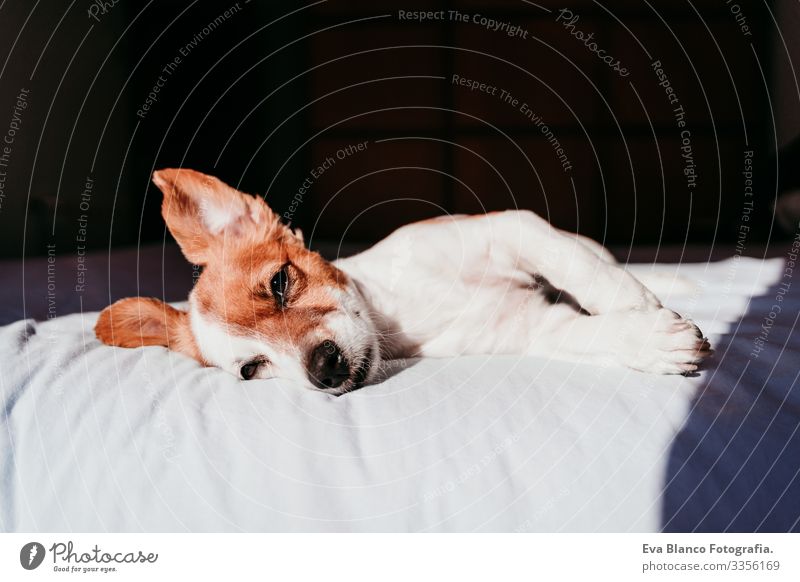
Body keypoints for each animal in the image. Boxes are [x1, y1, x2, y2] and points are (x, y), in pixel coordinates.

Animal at [94, 170, 712, 396]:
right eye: (251, 369)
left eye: (280, 283)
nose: (323, 370)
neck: (398, 315)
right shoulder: (531, 328)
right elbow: (591, 334)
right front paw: (651, 340)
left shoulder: (512, 228)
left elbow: (584, 271)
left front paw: (637, 303)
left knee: (598, 257)